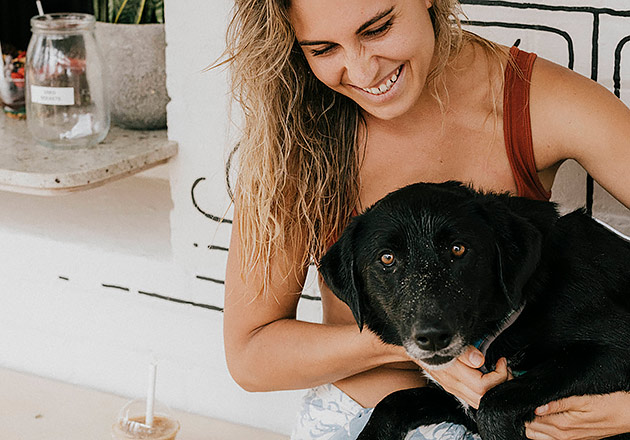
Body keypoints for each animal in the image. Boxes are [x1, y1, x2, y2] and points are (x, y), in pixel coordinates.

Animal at [320, 180, 630, 438]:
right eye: (387, 258)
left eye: (458, 249)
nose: (432, 337)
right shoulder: (456, 399)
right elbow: (392, 402)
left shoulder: (614, 351)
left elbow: (494, 404)